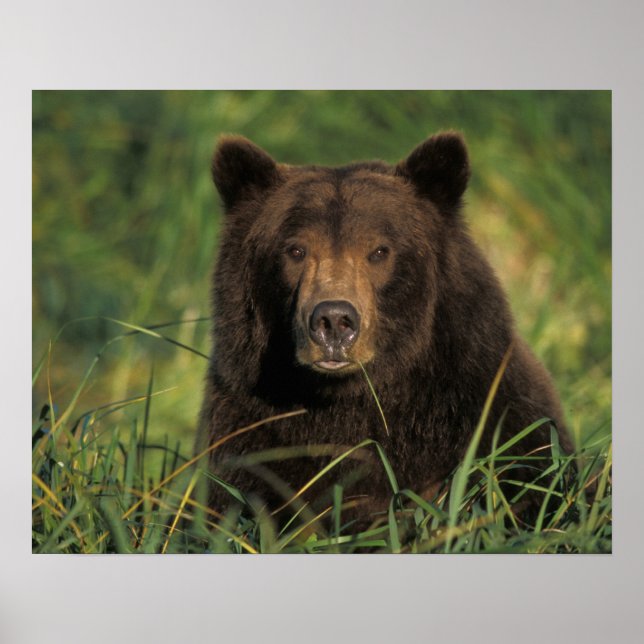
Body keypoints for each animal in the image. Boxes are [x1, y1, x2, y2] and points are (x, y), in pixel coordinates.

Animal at [196, 131, 571, 525]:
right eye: (295, 250)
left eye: (379, 251)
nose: (334, 321)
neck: (350, 399)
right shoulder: (250, 433)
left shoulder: (489, 418)